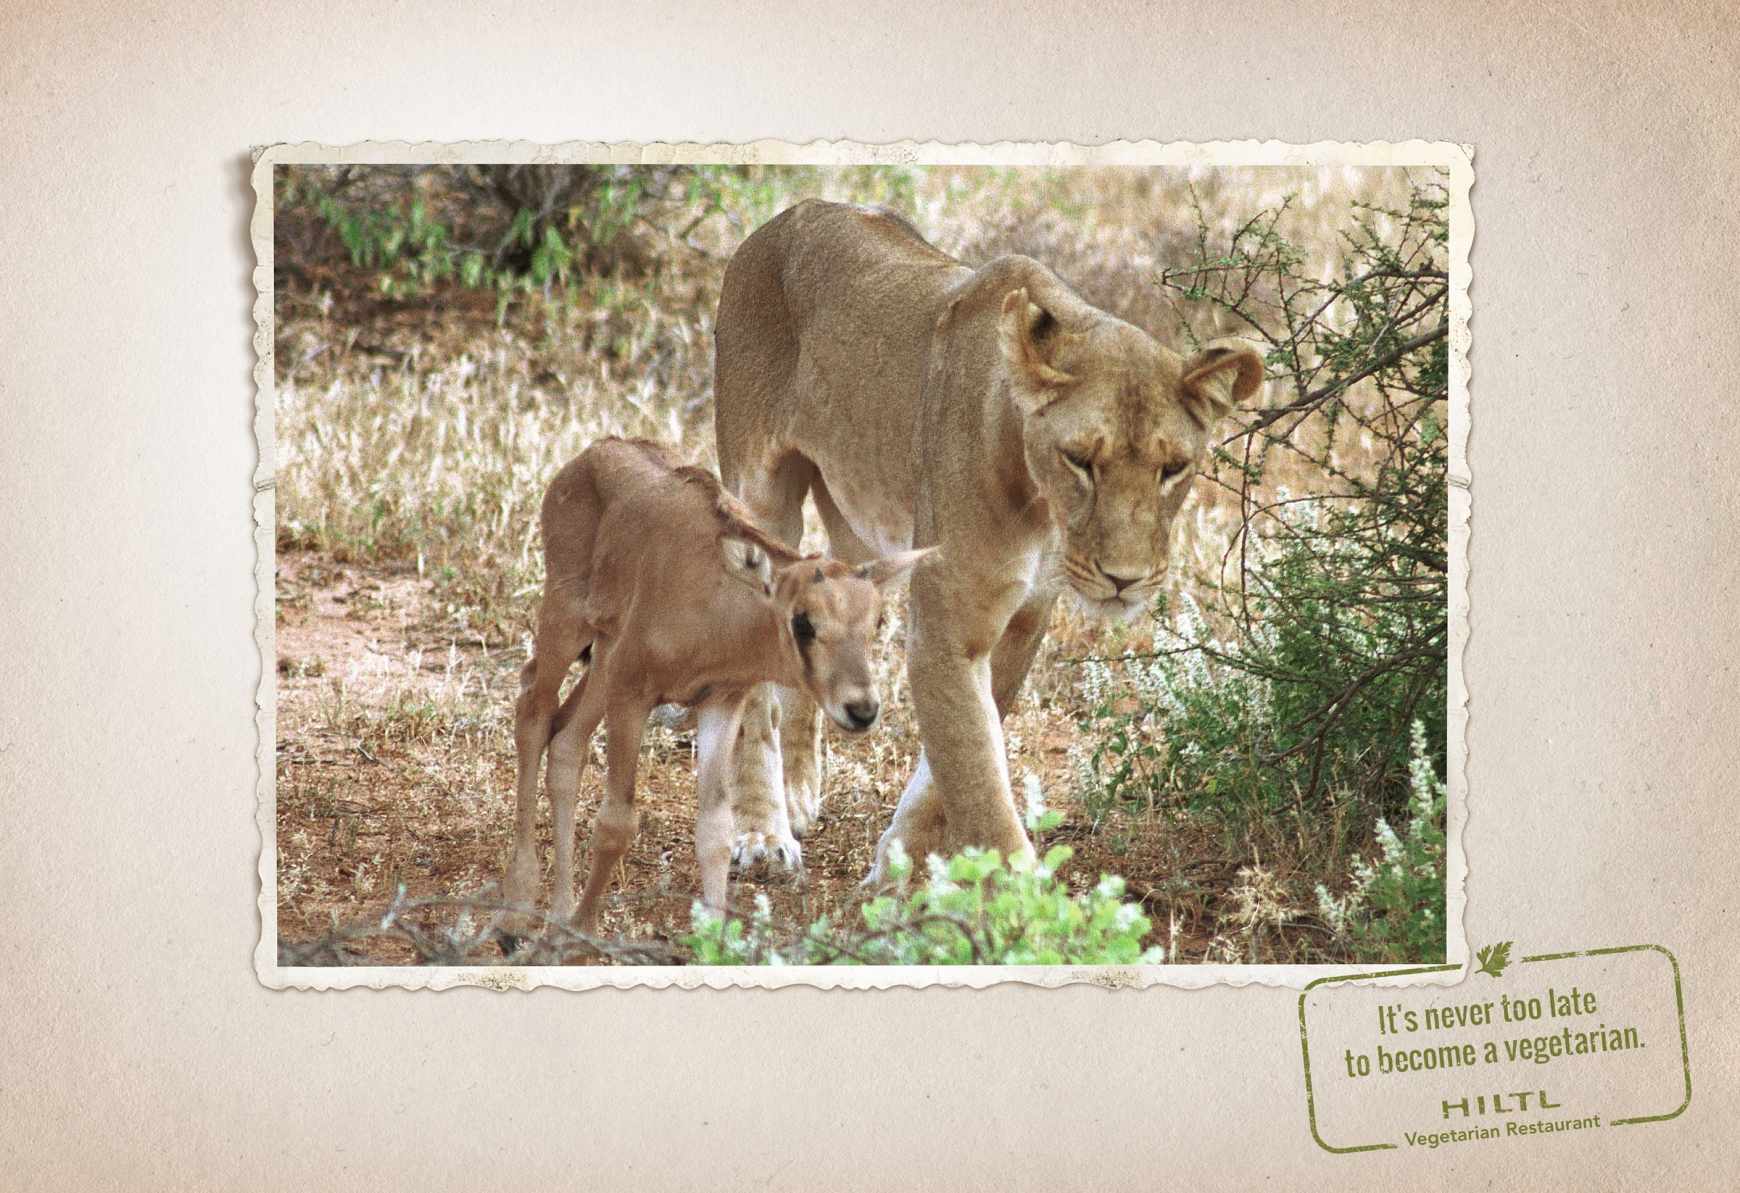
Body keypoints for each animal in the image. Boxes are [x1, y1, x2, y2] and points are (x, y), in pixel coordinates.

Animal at [504, 436, 925, 946]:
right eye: (803, 621)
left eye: (877, 621)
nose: (861, 709)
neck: (714, 605)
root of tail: (590, 455)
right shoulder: (632, 696)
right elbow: (616, 822)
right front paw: (584, 931)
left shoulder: (719, 702)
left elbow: (715, 830)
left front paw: (714, 940)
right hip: (567, 621)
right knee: (533, 709)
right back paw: (517, 911)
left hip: (601, 658)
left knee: (566, 741)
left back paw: (559, 913)